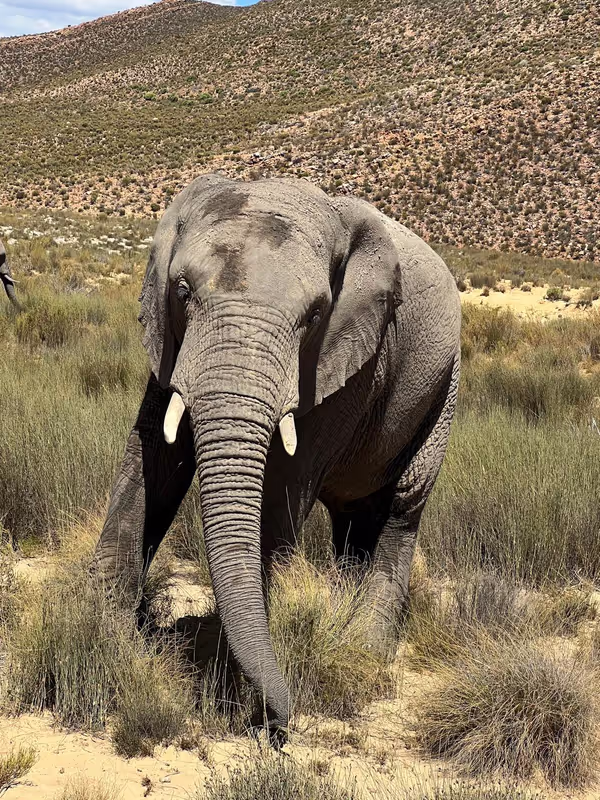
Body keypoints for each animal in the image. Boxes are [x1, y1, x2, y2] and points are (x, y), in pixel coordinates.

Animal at [93, 173, 461, 740]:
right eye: (182, 291)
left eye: (315, 315)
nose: (284, 724)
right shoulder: (171, 344)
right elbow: (150, 458)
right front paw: (101, 639)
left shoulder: (346, 361)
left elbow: (282, 490)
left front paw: (235, 691)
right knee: (355, 523)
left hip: (444, 385)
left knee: (402, 509)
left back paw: (366, 651)